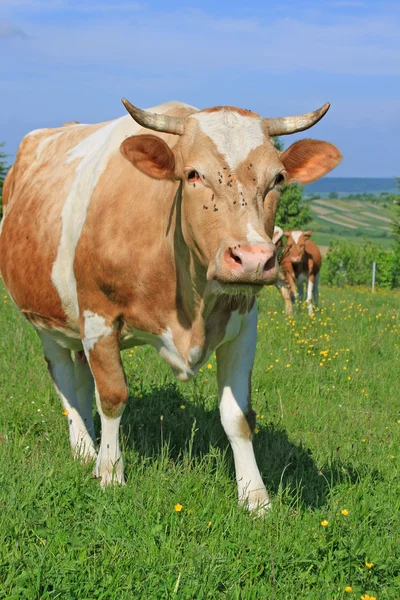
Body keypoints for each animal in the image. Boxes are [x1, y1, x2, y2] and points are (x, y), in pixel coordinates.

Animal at [0, 99, 340, 516]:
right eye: (192, 174)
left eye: (277, 178)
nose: (253, 259)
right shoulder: (98, 317)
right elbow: (112, 396)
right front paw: (110, 474)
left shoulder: (245, 326)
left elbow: (238, 416)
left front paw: (255, 497)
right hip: (44, 318)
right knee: (63, 377)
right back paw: (84, 451)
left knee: (81, 378)